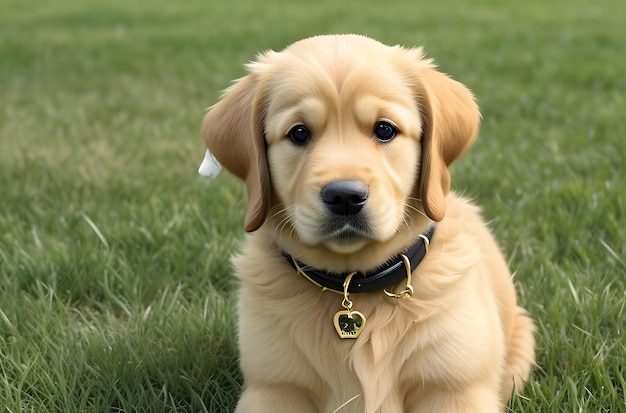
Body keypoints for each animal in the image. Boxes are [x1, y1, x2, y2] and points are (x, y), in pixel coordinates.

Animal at [200, 34, 532, 412]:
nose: (345, 196)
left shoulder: (454, 388)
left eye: (384, 129)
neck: (353, 286)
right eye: (298, 133)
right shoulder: (274, 388)